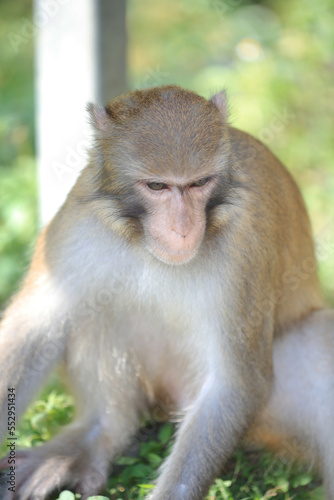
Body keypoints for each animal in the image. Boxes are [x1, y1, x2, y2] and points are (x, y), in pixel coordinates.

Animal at [0, 84, 334, 498]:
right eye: (157, 185)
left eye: (199, 183)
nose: (182, 228)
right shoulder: (82, 220)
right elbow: (34, 327)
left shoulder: (244, 244)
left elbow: (234, 384)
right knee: (95, 305)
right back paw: (94, 436)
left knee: (318, 338)